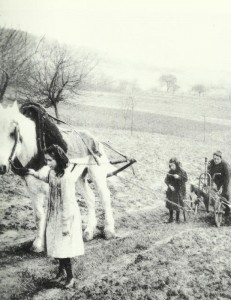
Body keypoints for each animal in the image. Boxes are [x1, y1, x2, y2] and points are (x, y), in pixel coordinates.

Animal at [0, 102, 115, 252]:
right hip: (78, 178)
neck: (37, 153)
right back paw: (89, 232)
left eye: (13, 133)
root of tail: (93, 138)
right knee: (90, 198)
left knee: (105, 196)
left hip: (96, 173)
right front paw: (38, 243)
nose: (1, 166)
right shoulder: (32, 190)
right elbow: (39, 215)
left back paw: (109, 230)